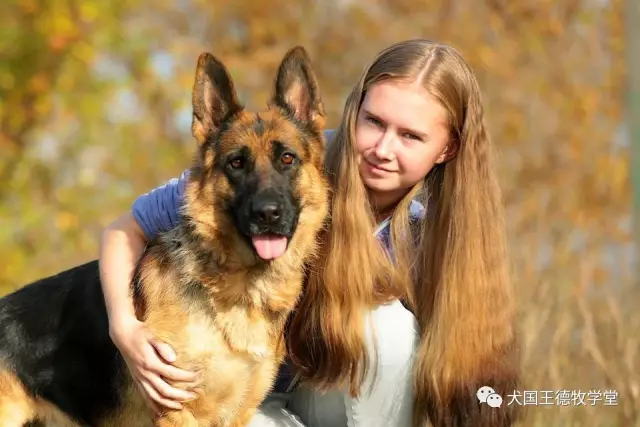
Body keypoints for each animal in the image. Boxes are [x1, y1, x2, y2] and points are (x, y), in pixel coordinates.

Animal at [0, 46, 330, 427]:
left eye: (287, 159)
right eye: (235, 163)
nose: (267, 214)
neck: (237, 288)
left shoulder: (239, 412)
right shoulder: (178, 412)